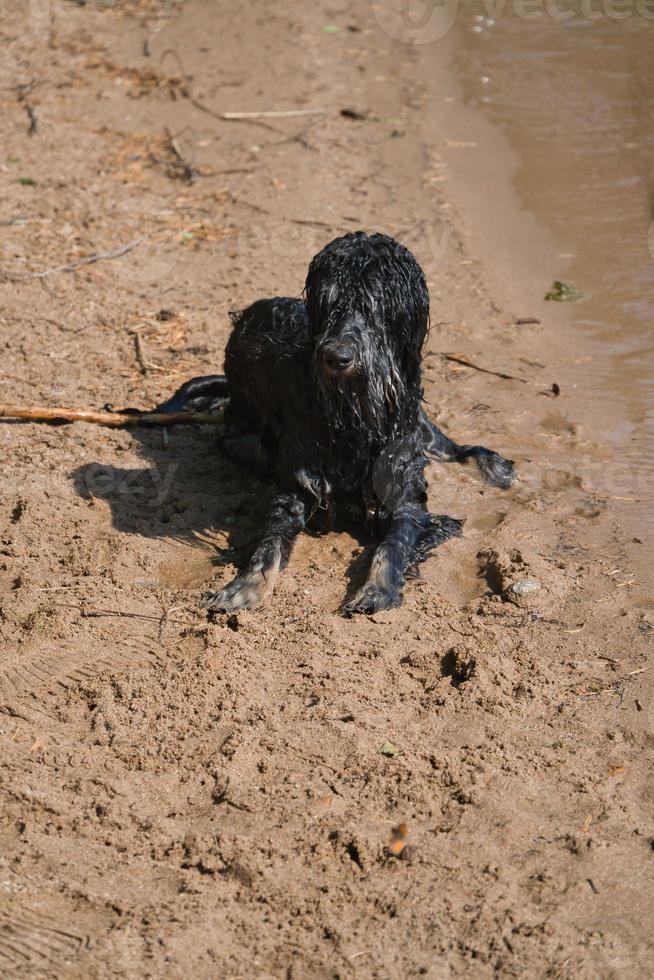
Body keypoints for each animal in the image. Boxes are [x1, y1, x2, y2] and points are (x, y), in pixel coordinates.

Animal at [155, 231, 516, 612]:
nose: (336, 357)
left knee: (452, 447)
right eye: (329, 305)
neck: (352, 410)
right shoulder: (298, 484)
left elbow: (394, 542)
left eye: (374, 307)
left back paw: (493, 465)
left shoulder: (403, 490)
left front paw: (377, 588)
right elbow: (269, 542)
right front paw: (244, 586)